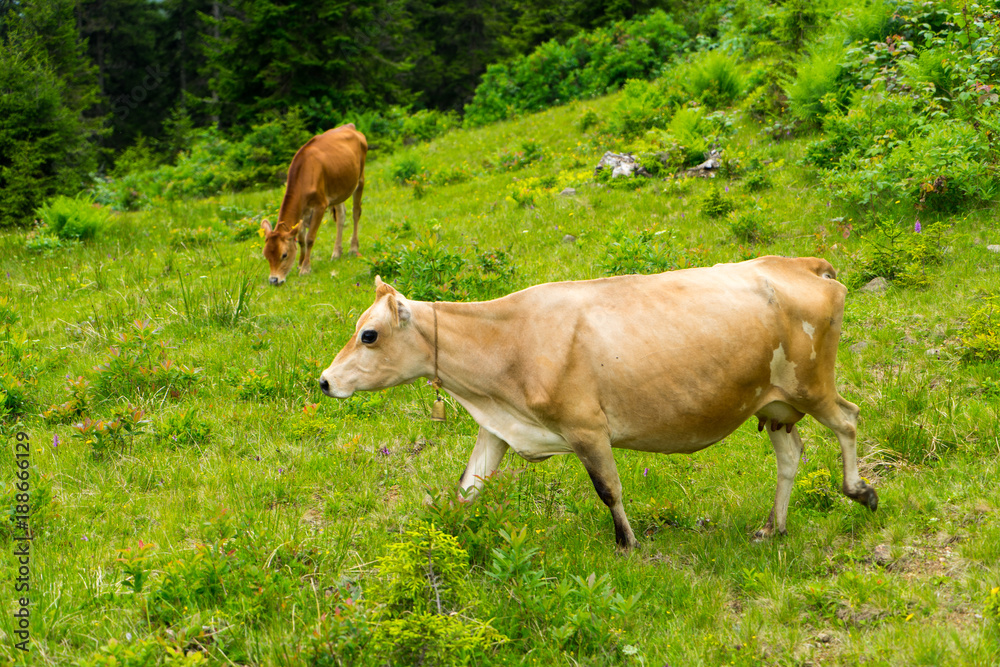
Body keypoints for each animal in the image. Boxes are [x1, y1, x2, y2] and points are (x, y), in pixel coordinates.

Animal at [260, 124, 366, 286]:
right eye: (266, 255)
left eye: (284, 255)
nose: (273, 280)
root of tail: (350, 126)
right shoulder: (303, 211)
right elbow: (301, 239)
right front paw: (300, 263)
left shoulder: (320, 206)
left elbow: (309, 238)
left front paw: (305, 268)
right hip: (339, 189)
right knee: (341, 216)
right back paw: (336, 252)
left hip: (360, 179)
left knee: (356, 212)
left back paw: (353, 248)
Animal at [318, 256, 876, 548]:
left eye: (368, 334)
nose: (324, 381)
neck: (508, 344)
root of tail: (799, 263)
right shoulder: (498, 428)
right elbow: (467, 488)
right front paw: (442, 537)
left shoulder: (587, 427)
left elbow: (609, 489)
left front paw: (628, 544)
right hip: (774, 403)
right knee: (791, 455)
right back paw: (773, 527)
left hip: (811, 384)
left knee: (848, 419)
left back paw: (860, 491)